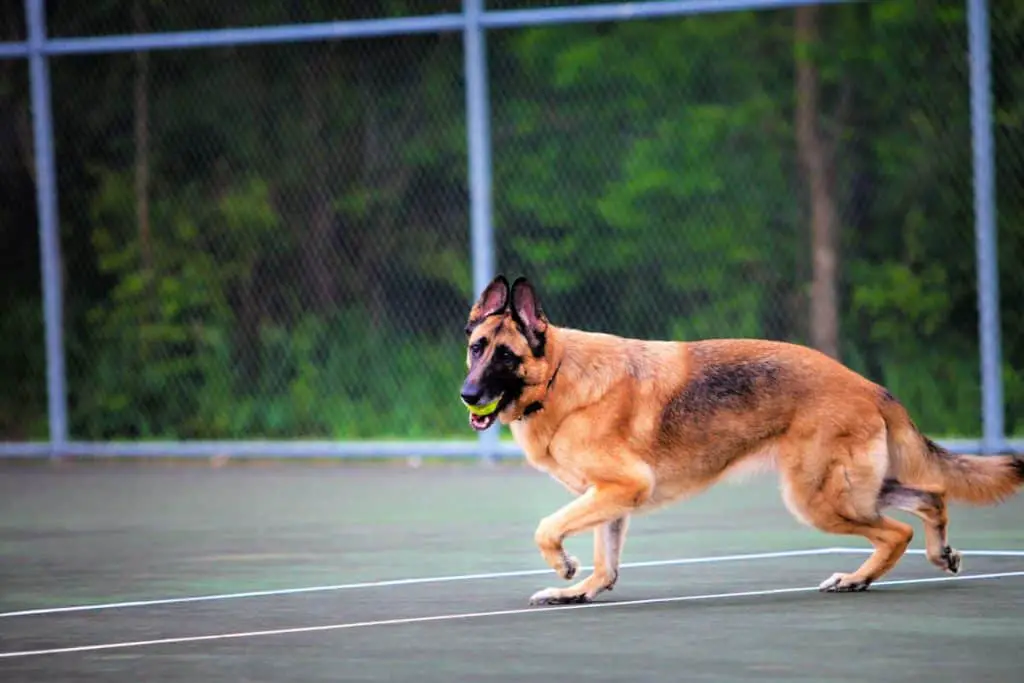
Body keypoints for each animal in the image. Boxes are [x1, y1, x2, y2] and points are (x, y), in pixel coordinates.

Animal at [462, 274, 1024, 606]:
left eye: (506, 356)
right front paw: (581, 590)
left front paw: (564, 566)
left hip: (817, 499)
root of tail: (868, 386)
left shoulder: (620, 488)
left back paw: (856, 579)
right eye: (475, 348)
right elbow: (606, 561)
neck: (558, 374)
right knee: (932, 497)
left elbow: (547, 528)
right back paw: (938, 554)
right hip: (853, 489)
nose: (467, 395)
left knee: (896, 532)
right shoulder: (611, 499)